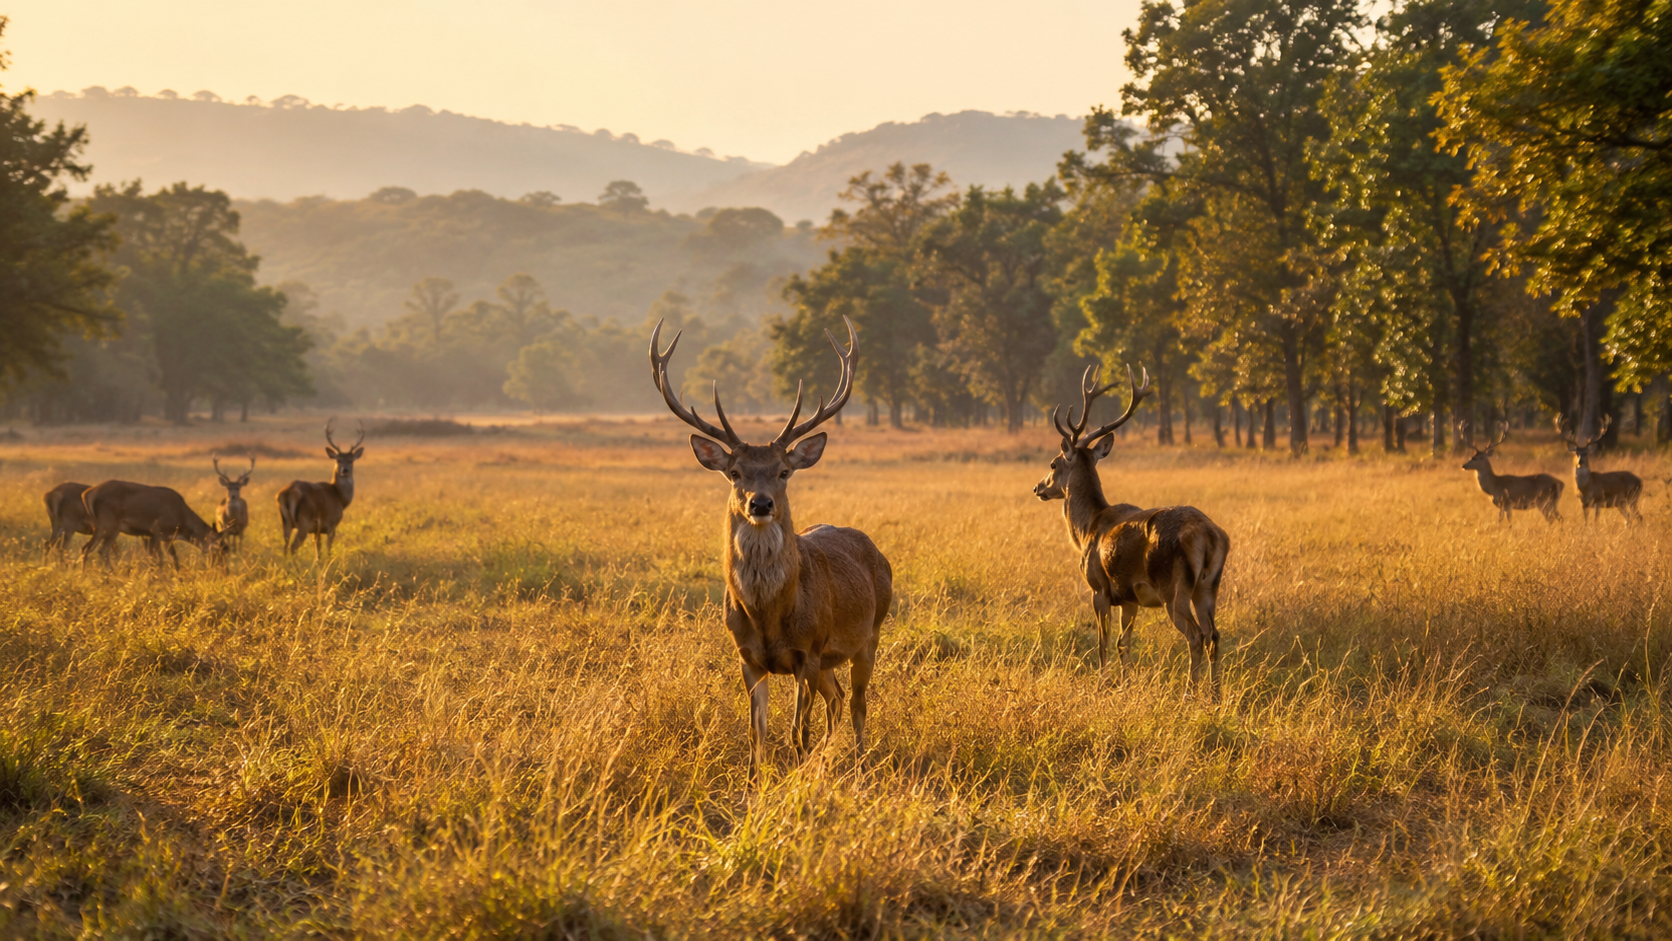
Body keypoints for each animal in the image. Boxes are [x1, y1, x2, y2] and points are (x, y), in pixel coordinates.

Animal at [79, 480, 223, 569]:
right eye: (220, 548)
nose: (223, 570)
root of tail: (87, 494)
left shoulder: (165, 537)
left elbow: (173, 559)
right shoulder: (155, 531)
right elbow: (158, 560)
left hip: (101, 527)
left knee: (86, 548)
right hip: (109, 525)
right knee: (98, 550)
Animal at [277, 421, 365, 558]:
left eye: (351, 460)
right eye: (338, 459)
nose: (345, 470)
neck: (340, 498)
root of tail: (287, 493)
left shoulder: (316, 529)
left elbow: (317, 549)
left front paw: (318, 561)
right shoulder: (332, 524)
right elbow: (328, 548)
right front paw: (329, 560)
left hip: (285, 521)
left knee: (285, 547)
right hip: (303, 521)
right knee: (293, 547)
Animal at [650, 315, 892, 781]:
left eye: (783, 471)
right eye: (734, 472)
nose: (760, 503)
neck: (769, 616)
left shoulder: (808, 649)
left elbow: (798, 731)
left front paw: (798, 777)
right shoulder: (747, 657)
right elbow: (756, 732)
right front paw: (755, 781)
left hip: (870, 633)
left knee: (856, 703)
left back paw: (857, 761)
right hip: (830, 659)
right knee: (837, 700)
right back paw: (828, 759)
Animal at [1033, 365, 1231, 697]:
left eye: (1053, 463)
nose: (1038, 488)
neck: (1086, 529)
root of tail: (1210, 536)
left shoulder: (1099, 587)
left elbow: (1102, 642)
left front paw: (1102, 683)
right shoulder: (1129, 597)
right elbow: (1123, 643)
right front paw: (1124, 685)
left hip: (1173, 586)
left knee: (1196, 635)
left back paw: (1190, 692)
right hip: (1208, 586)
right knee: (1214, 634)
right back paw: (1215, 694)